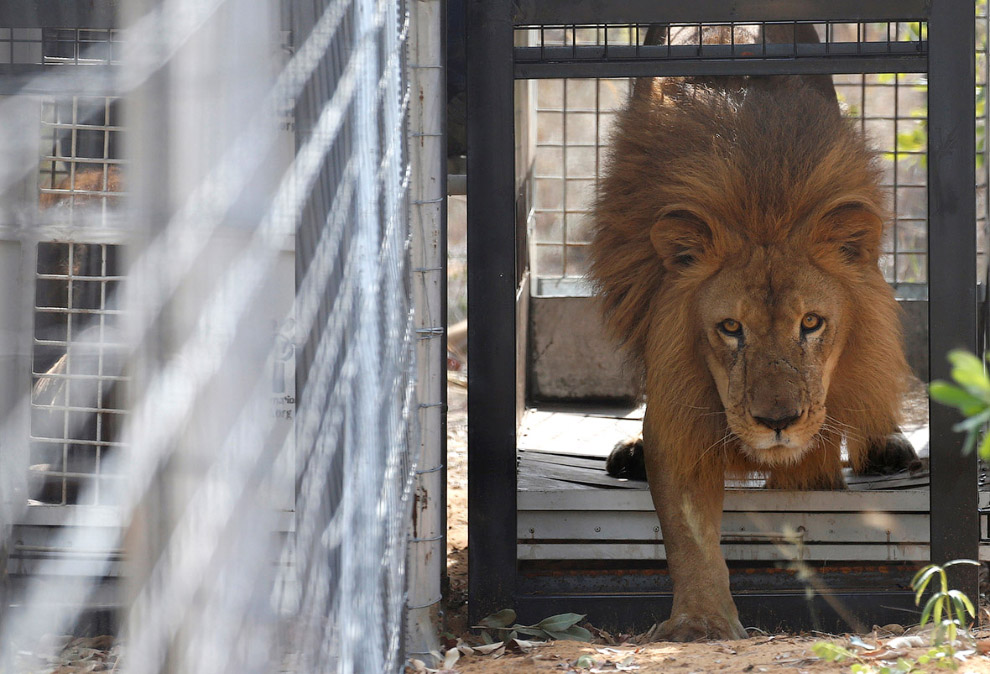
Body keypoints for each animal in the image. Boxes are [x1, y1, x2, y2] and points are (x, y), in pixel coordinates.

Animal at [588, 26, 924, 644]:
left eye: (811, 323)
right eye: (730, 328)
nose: (777, 422)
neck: (764, 206)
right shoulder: (680, 408)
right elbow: (688, 534)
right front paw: (700, 620)